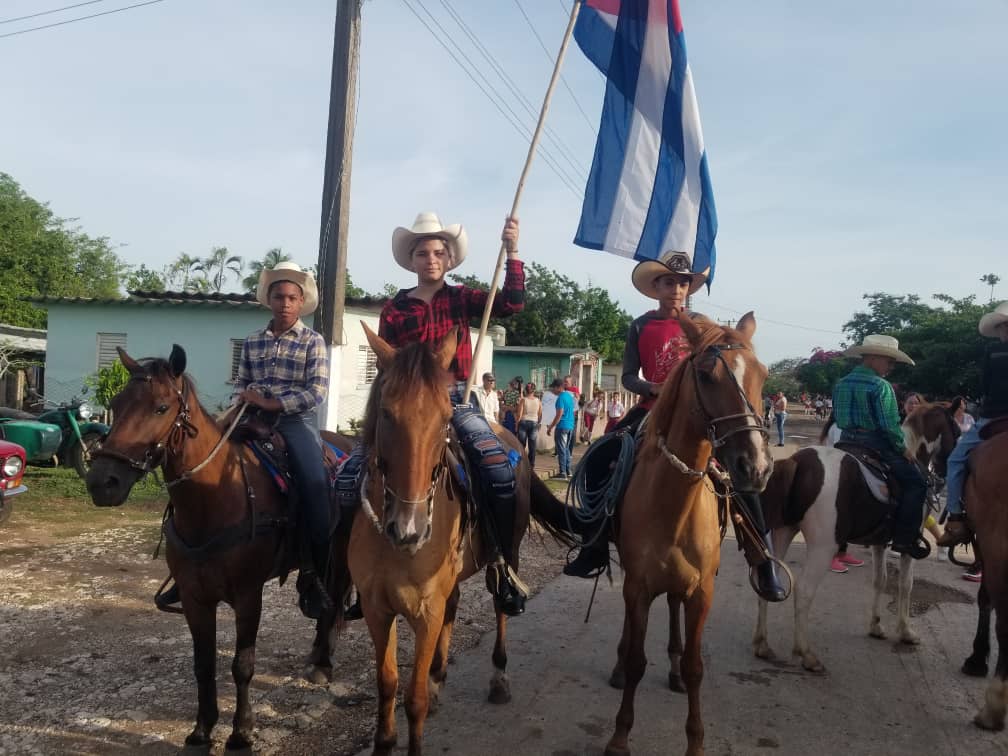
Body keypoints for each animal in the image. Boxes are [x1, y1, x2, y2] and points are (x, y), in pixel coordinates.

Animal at [83, 348, 342, 753]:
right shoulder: (194, 597)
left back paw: (323, 664)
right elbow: (203, 664)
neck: (216, 497)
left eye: (161, 407)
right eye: (115, 404)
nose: (102, 482)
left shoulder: (249, 596)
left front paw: (241, 732)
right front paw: (202, 730)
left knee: (336, 601)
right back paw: (315, 655)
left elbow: (242, 665)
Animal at [348, 328, 576, 756]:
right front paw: (384, 741)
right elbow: (387, 684)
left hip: (508, 554)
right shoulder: (376, 608)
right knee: (454, 606)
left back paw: (498, 679)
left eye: (444, 419)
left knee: (499, 605)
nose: (410, 529)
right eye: (386, 413)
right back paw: (439, 675)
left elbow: (413, 698)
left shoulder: (426, 612)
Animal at [596, 312, 770, 756]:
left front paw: (695, 741)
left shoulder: (702, 590)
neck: (673, 505)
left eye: (763, 375)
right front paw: (619, 736)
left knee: (674, 607)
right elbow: (637, 660)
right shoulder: (638, 586)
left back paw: (672, 666)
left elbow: (695, 668)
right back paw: (618, 664)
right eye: (707, 375)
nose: (755, 468)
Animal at [758, 403, 959, 673]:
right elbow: (906, 585)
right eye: (957, 431)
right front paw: (906, 632)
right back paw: (806, 654)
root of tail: (798, 462)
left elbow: (880, 580)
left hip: (783, 531)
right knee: (804, 590)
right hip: (823, 547)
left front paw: (876, 626)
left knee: (771, 579)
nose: (946, 473)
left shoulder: (879, 543)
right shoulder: (909, 546)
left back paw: (762, 644)